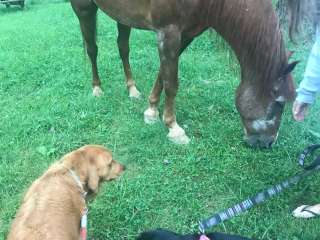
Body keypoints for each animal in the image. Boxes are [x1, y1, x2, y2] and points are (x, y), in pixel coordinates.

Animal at [70, 0, 298, 147]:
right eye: (278, 104)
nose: (267, 143)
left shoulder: (186, 33)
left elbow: (163, 74)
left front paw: (151, 110)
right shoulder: (168, 32)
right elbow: (171, 83)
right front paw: (174, 128)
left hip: (124, 15)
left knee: (123, 48)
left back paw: (132, 89)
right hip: (84, 8)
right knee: (92, 48)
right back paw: (97, 88)